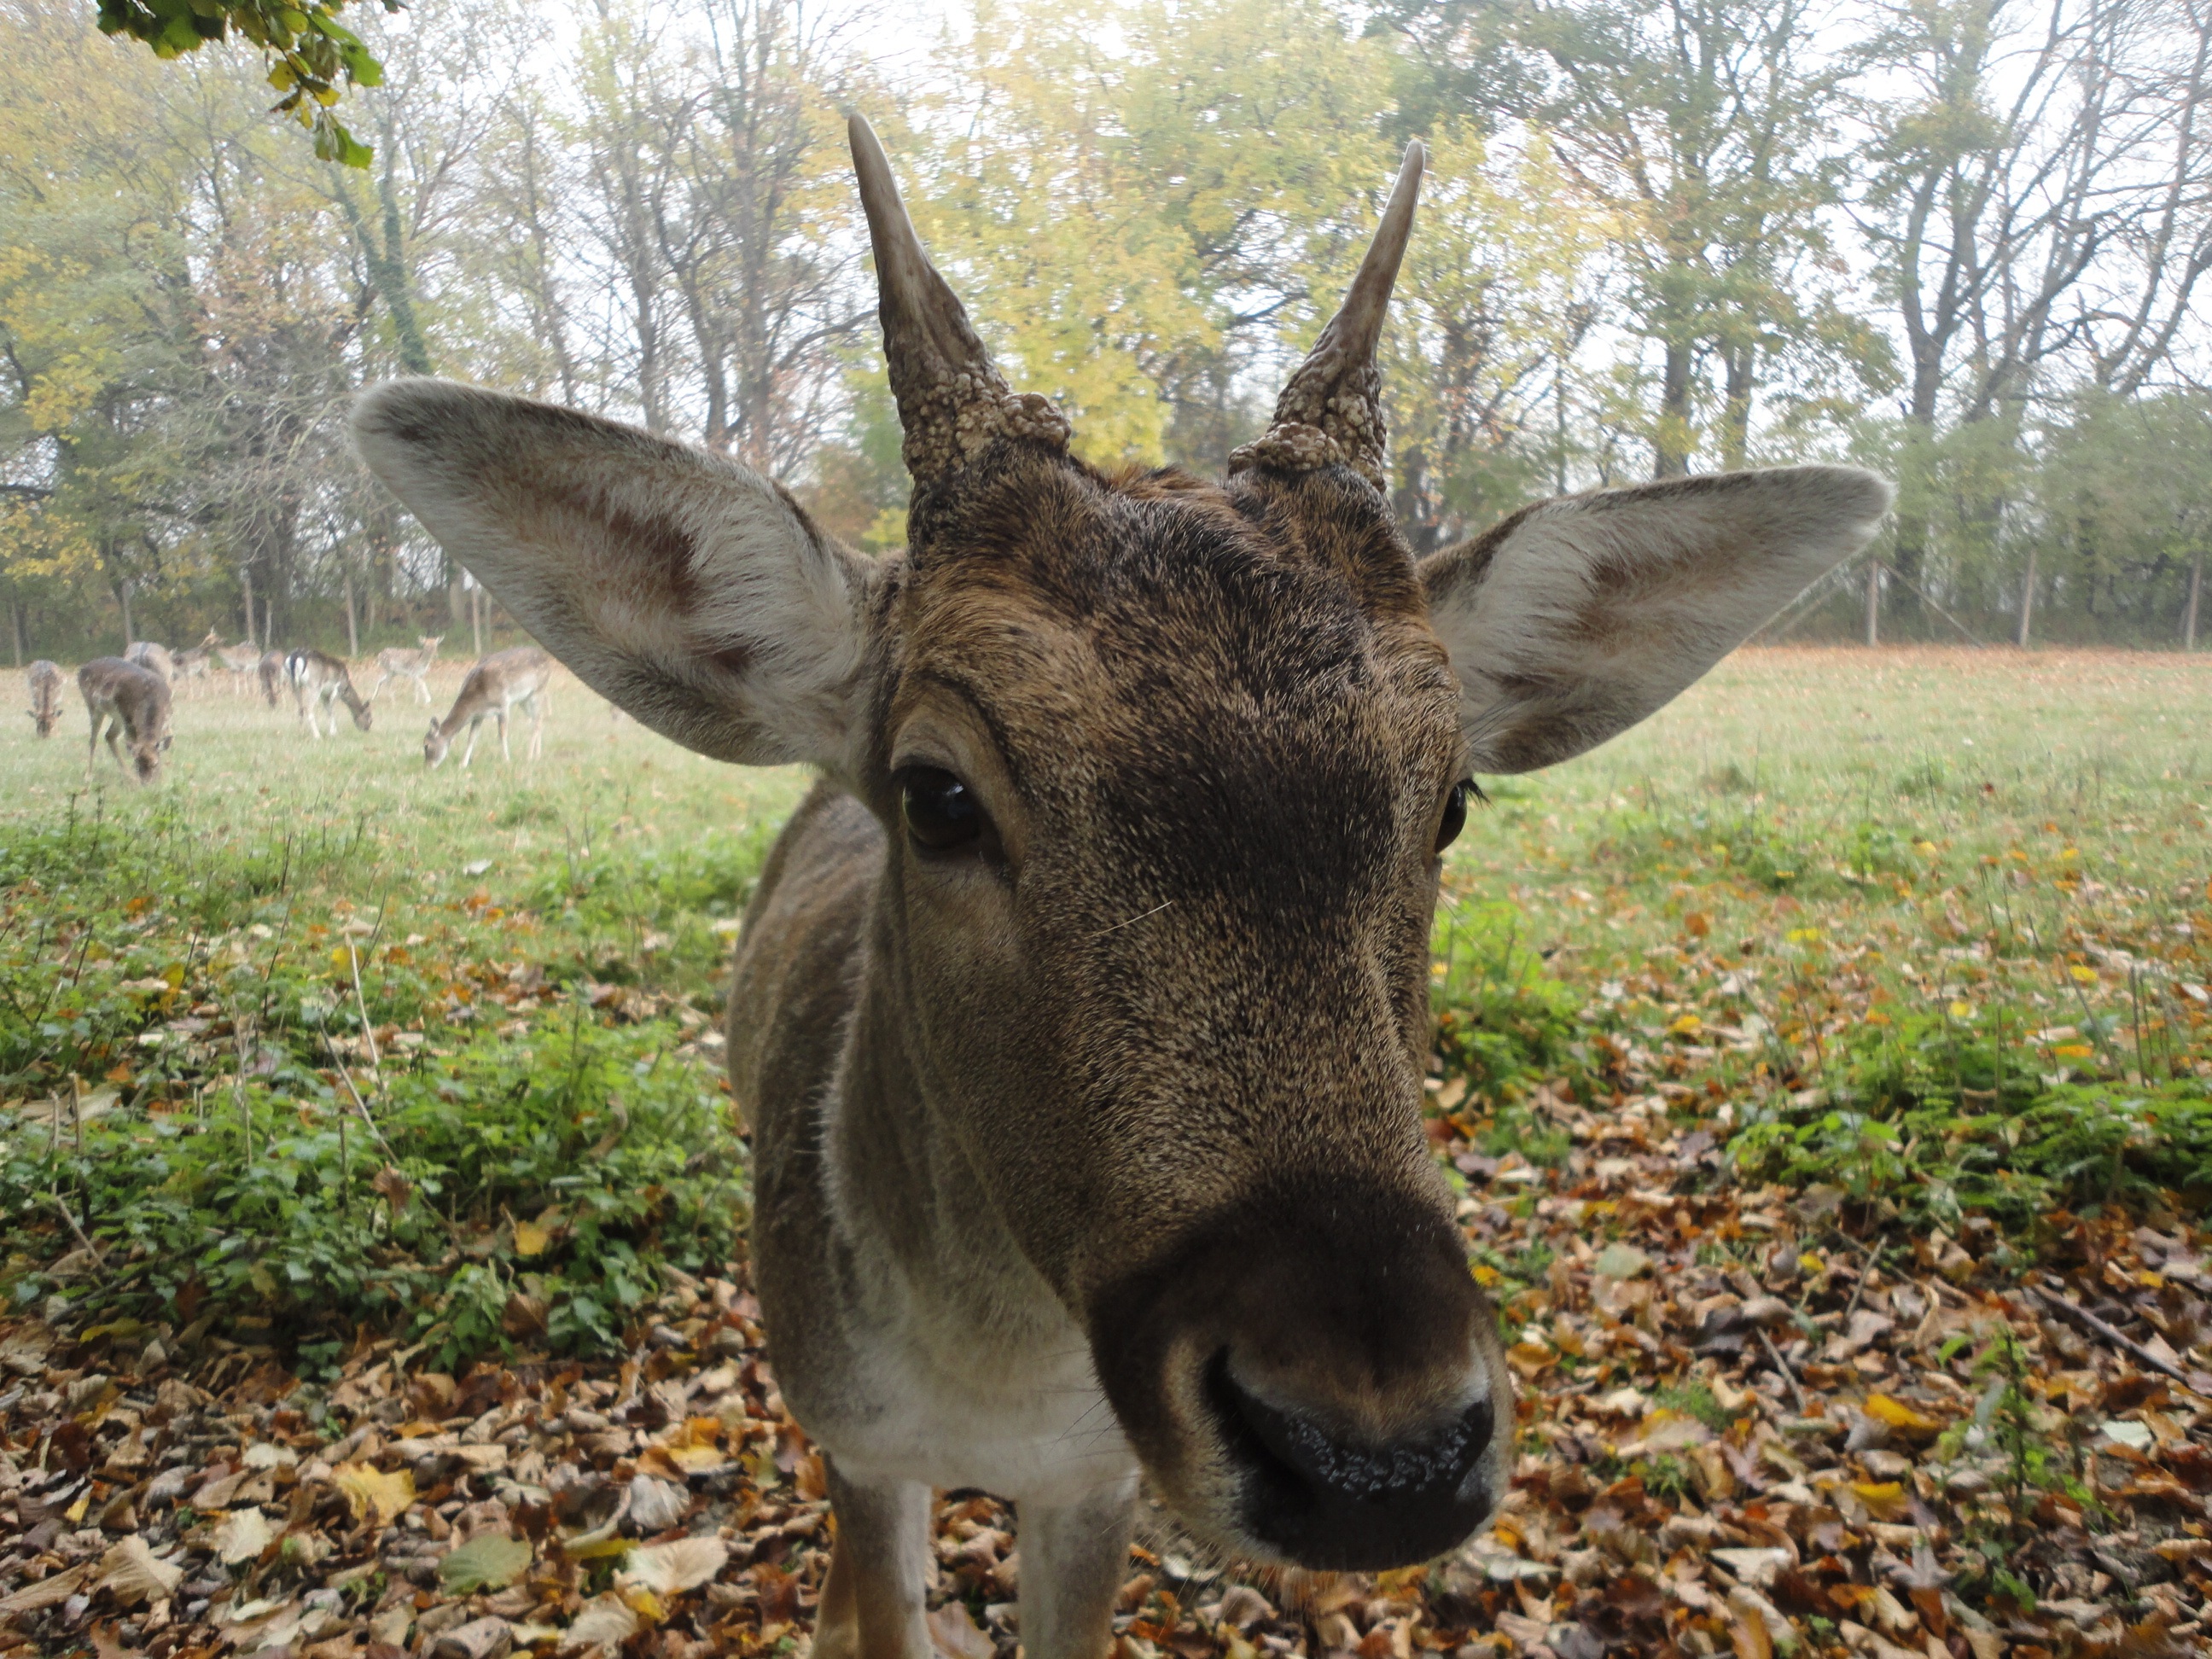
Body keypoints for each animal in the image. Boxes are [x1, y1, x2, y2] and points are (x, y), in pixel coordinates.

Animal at [79, 655, 171, 787]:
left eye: (155, 764)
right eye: (137, 763)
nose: (145, 784)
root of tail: (82, 669)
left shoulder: (167, 719)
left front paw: (161, 779)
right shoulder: (128, 721)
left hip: (117, 718)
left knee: (109, 735)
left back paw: (127, 775)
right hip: (94, 707)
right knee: (93, 739)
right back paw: (89, 776)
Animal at [417, 655, 548, 778]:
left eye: (426, 745)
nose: (427, 767)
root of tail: (547, 658)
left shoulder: (503, 704)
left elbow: (502, 734)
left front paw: (506, 760)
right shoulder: (479, 716)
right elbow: (471, 737)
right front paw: (463, 764)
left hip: (538, 691)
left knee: (537, 721)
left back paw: (530, 756)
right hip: (524, 700)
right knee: (538, 719)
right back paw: (538, 755)